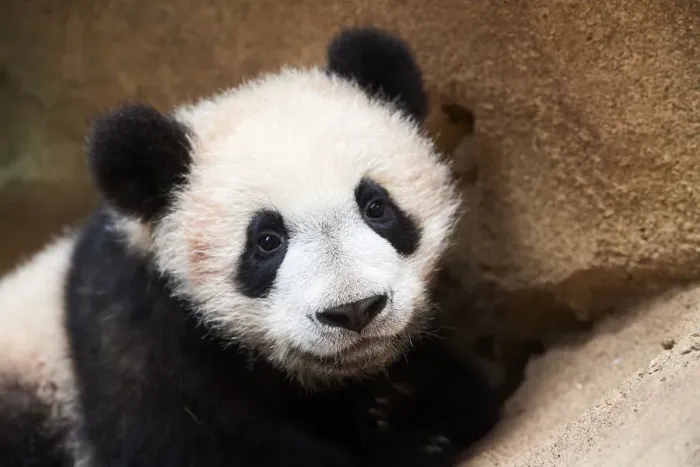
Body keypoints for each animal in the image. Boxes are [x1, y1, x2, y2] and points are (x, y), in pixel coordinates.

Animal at [0, 26, 502, 467]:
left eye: (376, 207)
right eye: (266, 242)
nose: (355, 310)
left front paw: (399, 404)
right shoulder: (130, 322)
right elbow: (185, 443)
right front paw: (408, 447)